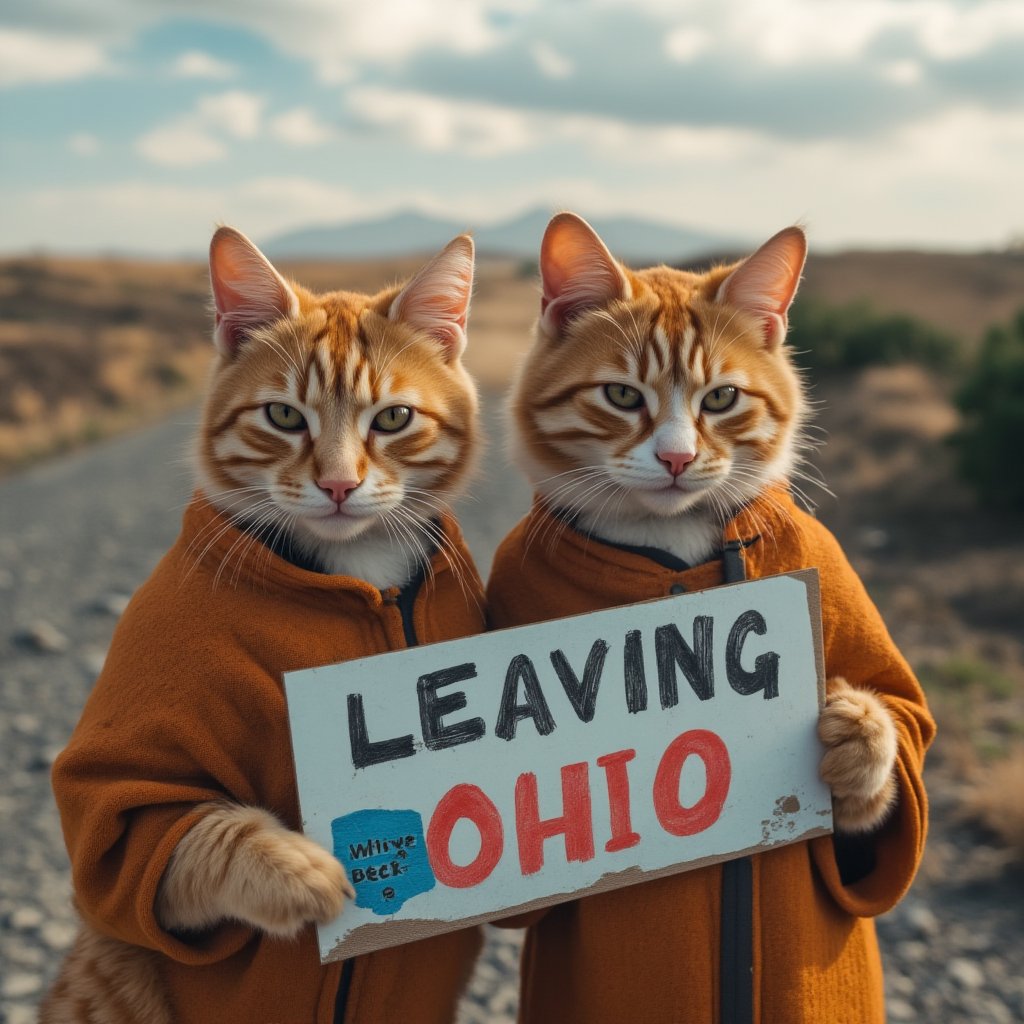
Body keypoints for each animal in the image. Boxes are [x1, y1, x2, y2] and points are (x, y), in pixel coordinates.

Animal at [39, 230, 483, 1024]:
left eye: (392, 419)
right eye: (283, 417)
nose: (337, 484)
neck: (357, 570)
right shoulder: (121, 824)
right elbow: (198, 833)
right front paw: (298, 869)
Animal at [487, 211, 937, 1019]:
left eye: (722, 400)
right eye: (622, 396)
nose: (675, 458)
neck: (671, 545)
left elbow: (898, 718)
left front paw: (859, 746)